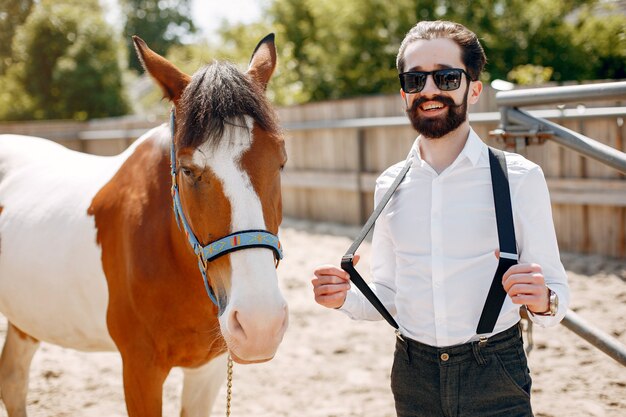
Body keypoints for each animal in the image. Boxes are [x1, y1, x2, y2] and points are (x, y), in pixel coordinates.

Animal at [0, 33, 288, 416]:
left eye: (281, 162)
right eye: (187, 170)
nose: (260, 325)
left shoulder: (208, 369)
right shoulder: (140, 370)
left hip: (26, 319)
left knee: (12, 379)